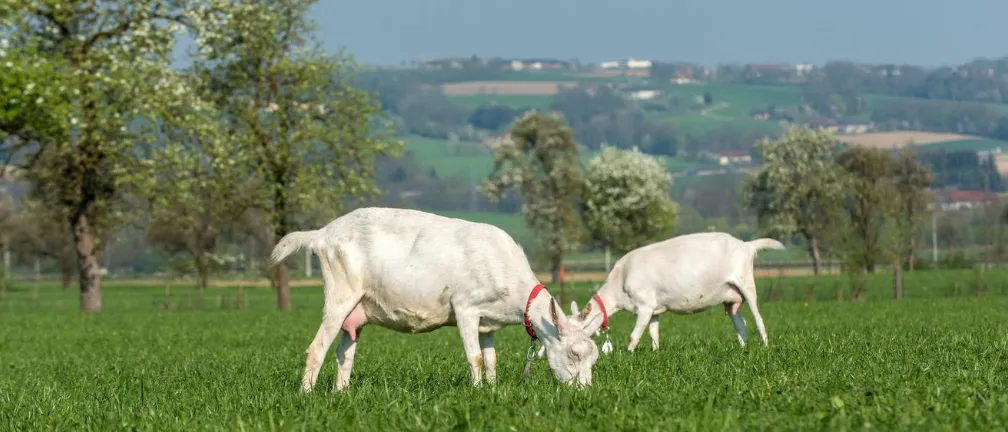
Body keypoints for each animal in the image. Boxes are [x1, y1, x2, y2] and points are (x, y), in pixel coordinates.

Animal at [269, 207, 599, 391]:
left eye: (594, 357)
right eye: (574, 354)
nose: (584, 392)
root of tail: (322, 233)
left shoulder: (488, 322)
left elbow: (492, 359)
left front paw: (493, 390)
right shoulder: (466, 308)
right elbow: (475, 357)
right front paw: (477, 392)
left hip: (358, 309)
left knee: (344, 353)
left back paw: (342, 394)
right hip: (340, 291)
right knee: (317, 348)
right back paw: (306, 395)